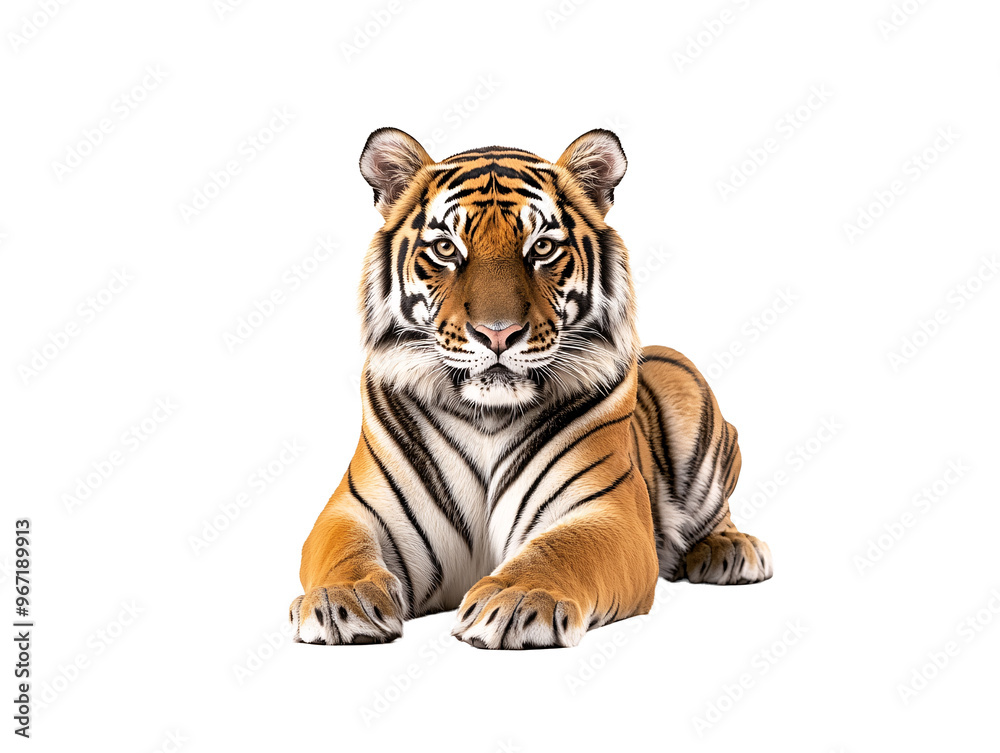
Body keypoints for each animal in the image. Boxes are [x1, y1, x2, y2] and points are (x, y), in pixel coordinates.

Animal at [289, 127, 772, 649]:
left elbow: (562, 548)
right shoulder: (355, 510)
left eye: (541, 248)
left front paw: (519, 599)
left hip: (686, 383)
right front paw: (341, 599)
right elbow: (344, 549)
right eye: (446, 249)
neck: (487, 413)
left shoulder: (607, 510)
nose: (497, 333)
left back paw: (731, 550)